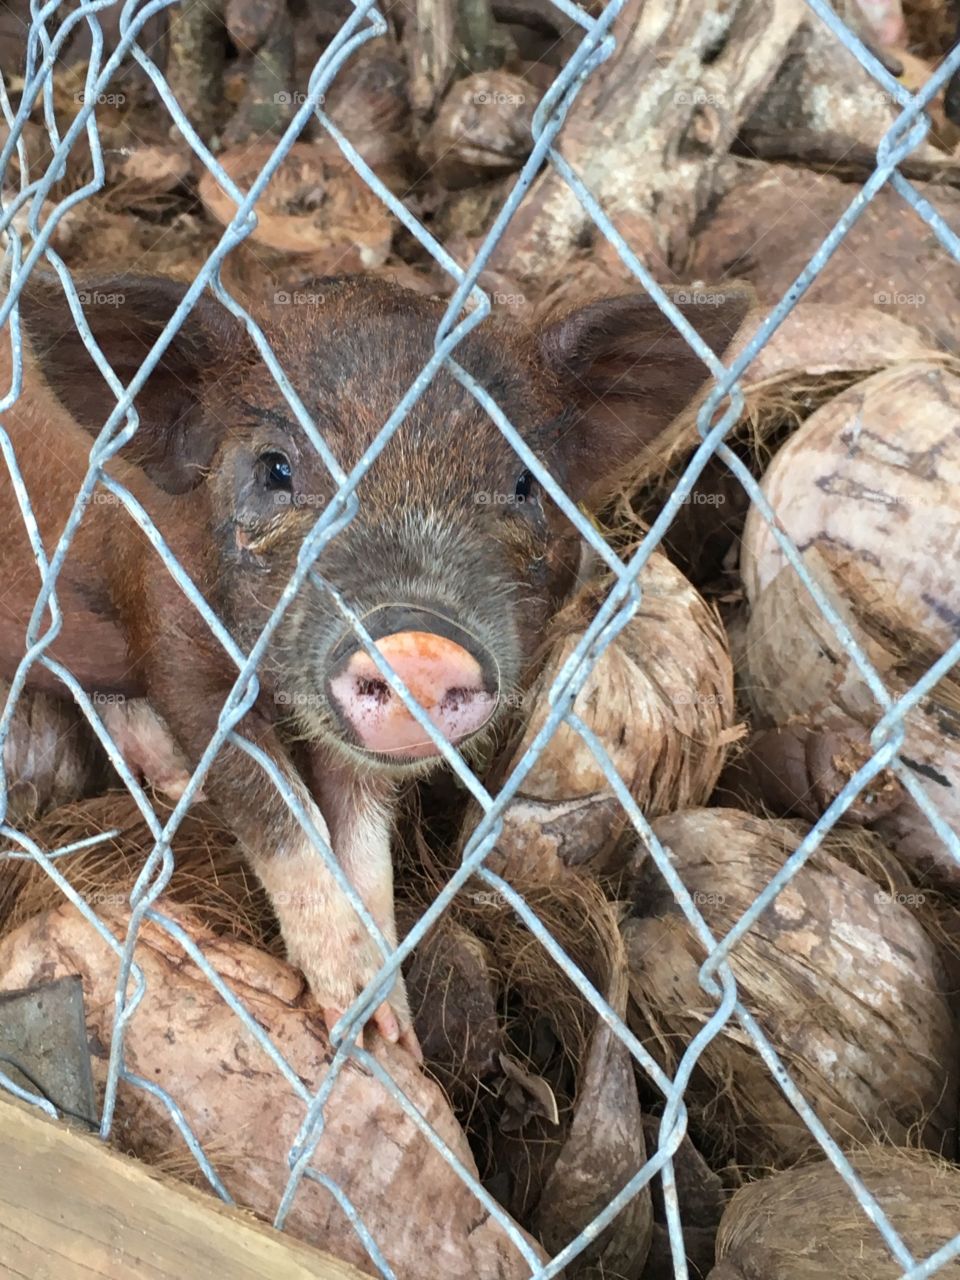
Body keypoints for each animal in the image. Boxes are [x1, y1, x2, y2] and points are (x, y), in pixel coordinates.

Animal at [0, 267, 752, 1049]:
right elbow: (279, 811)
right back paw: (181, 785)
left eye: (522, 485)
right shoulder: (174, 641)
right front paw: (355, 1024)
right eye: (275, 470)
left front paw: (393, 1035)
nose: (418, 646)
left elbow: (363, 842)